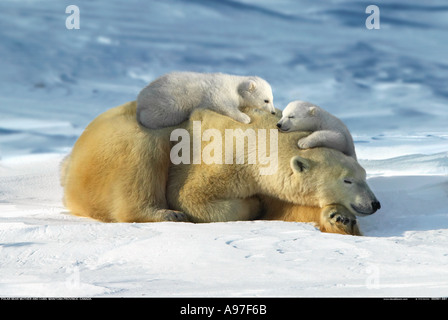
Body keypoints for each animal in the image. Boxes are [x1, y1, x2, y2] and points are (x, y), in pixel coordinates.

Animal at [61, 100, 380, 235]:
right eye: (347, 180)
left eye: (364, 176)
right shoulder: (221, 158)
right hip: (128, 140)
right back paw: (167, 214)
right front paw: (252, 205)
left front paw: (340, 218)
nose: (375, 204)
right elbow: (191, 195)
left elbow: (289, 207)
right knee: (141, 159)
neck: (258, 137)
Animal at [136, 71, 276, 129]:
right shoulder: (220, 92)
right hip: (170, 104)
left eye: (272, 99)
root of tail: (141, 96)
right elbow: (222, 104)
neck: (236, 85)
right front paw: (245, 117)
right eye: (266, 100)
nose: (274, 112)